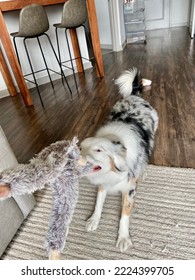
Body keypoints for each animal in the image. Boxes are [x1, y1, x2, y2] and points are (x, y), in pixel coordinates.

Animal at [80, 67, 158, 252]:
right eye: (80, 148)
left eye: (98, 150)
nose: (75, 157)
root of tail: (135, 96)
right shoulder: (103, 182)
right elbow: (99, 202)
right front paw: (94, 220)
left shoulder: (130, 190)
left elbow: (125, 214)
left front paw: (123, 237)